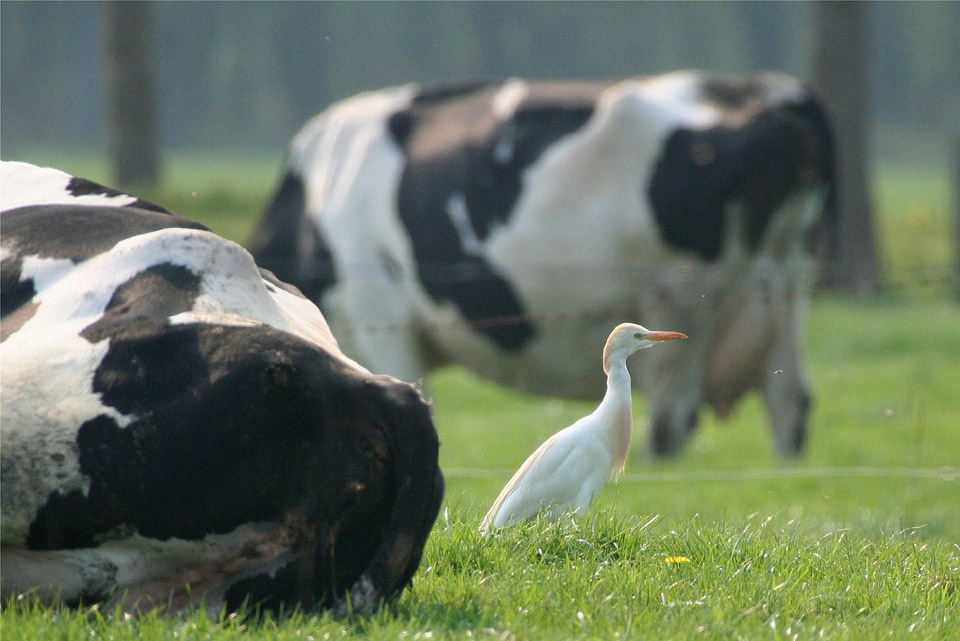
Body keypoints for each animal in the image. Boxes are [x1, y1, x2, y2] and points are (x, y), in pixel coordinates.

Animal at [251, 72, 836, 458]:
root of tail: (773, 93)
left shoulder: (382, 318)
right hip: (788, 285)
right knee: (790, 404)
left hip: (683, 301)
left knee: (671, 424)